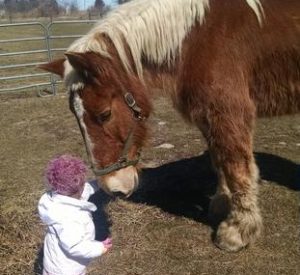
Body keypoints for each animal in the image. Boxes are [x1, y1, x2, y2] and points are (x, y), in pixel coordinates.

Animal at [39, 0, 300, 253]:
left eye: (104, 114)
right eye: (75, 115)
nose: (112, 188)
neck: (198, 39)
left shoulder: (229, 112)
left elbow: (237, 169)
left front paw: (237, 231)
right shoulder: (208, 116)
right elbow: (219, 161)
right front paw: (220, 204)